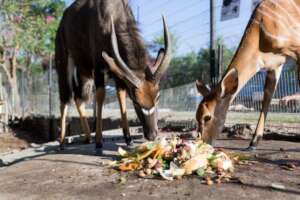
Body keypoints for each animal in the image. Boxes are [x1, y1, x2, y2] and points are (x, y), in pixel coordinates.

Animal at [54, 0, 171, 150]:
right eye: (136, 101)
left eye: (157, 98)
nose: (152, 135)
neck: (113, 13)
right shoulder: (98, 65)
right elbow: (100, 95)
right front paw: (99, 141)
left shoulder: (117, 73)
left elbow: (120, 95)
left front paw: (128, 138)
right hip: (64, 63)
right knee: (65, 99)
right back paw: (62, 142)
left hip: (84, 72)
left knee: (79, 98)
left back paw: (88, 137)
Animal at [196, 0, 300, 150]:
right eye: (196, 116)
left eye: (207, 117)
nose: (203, 143)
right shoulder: (276, 64)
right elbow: (267, 96)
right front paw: (253, 143)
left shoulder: (297, 49)